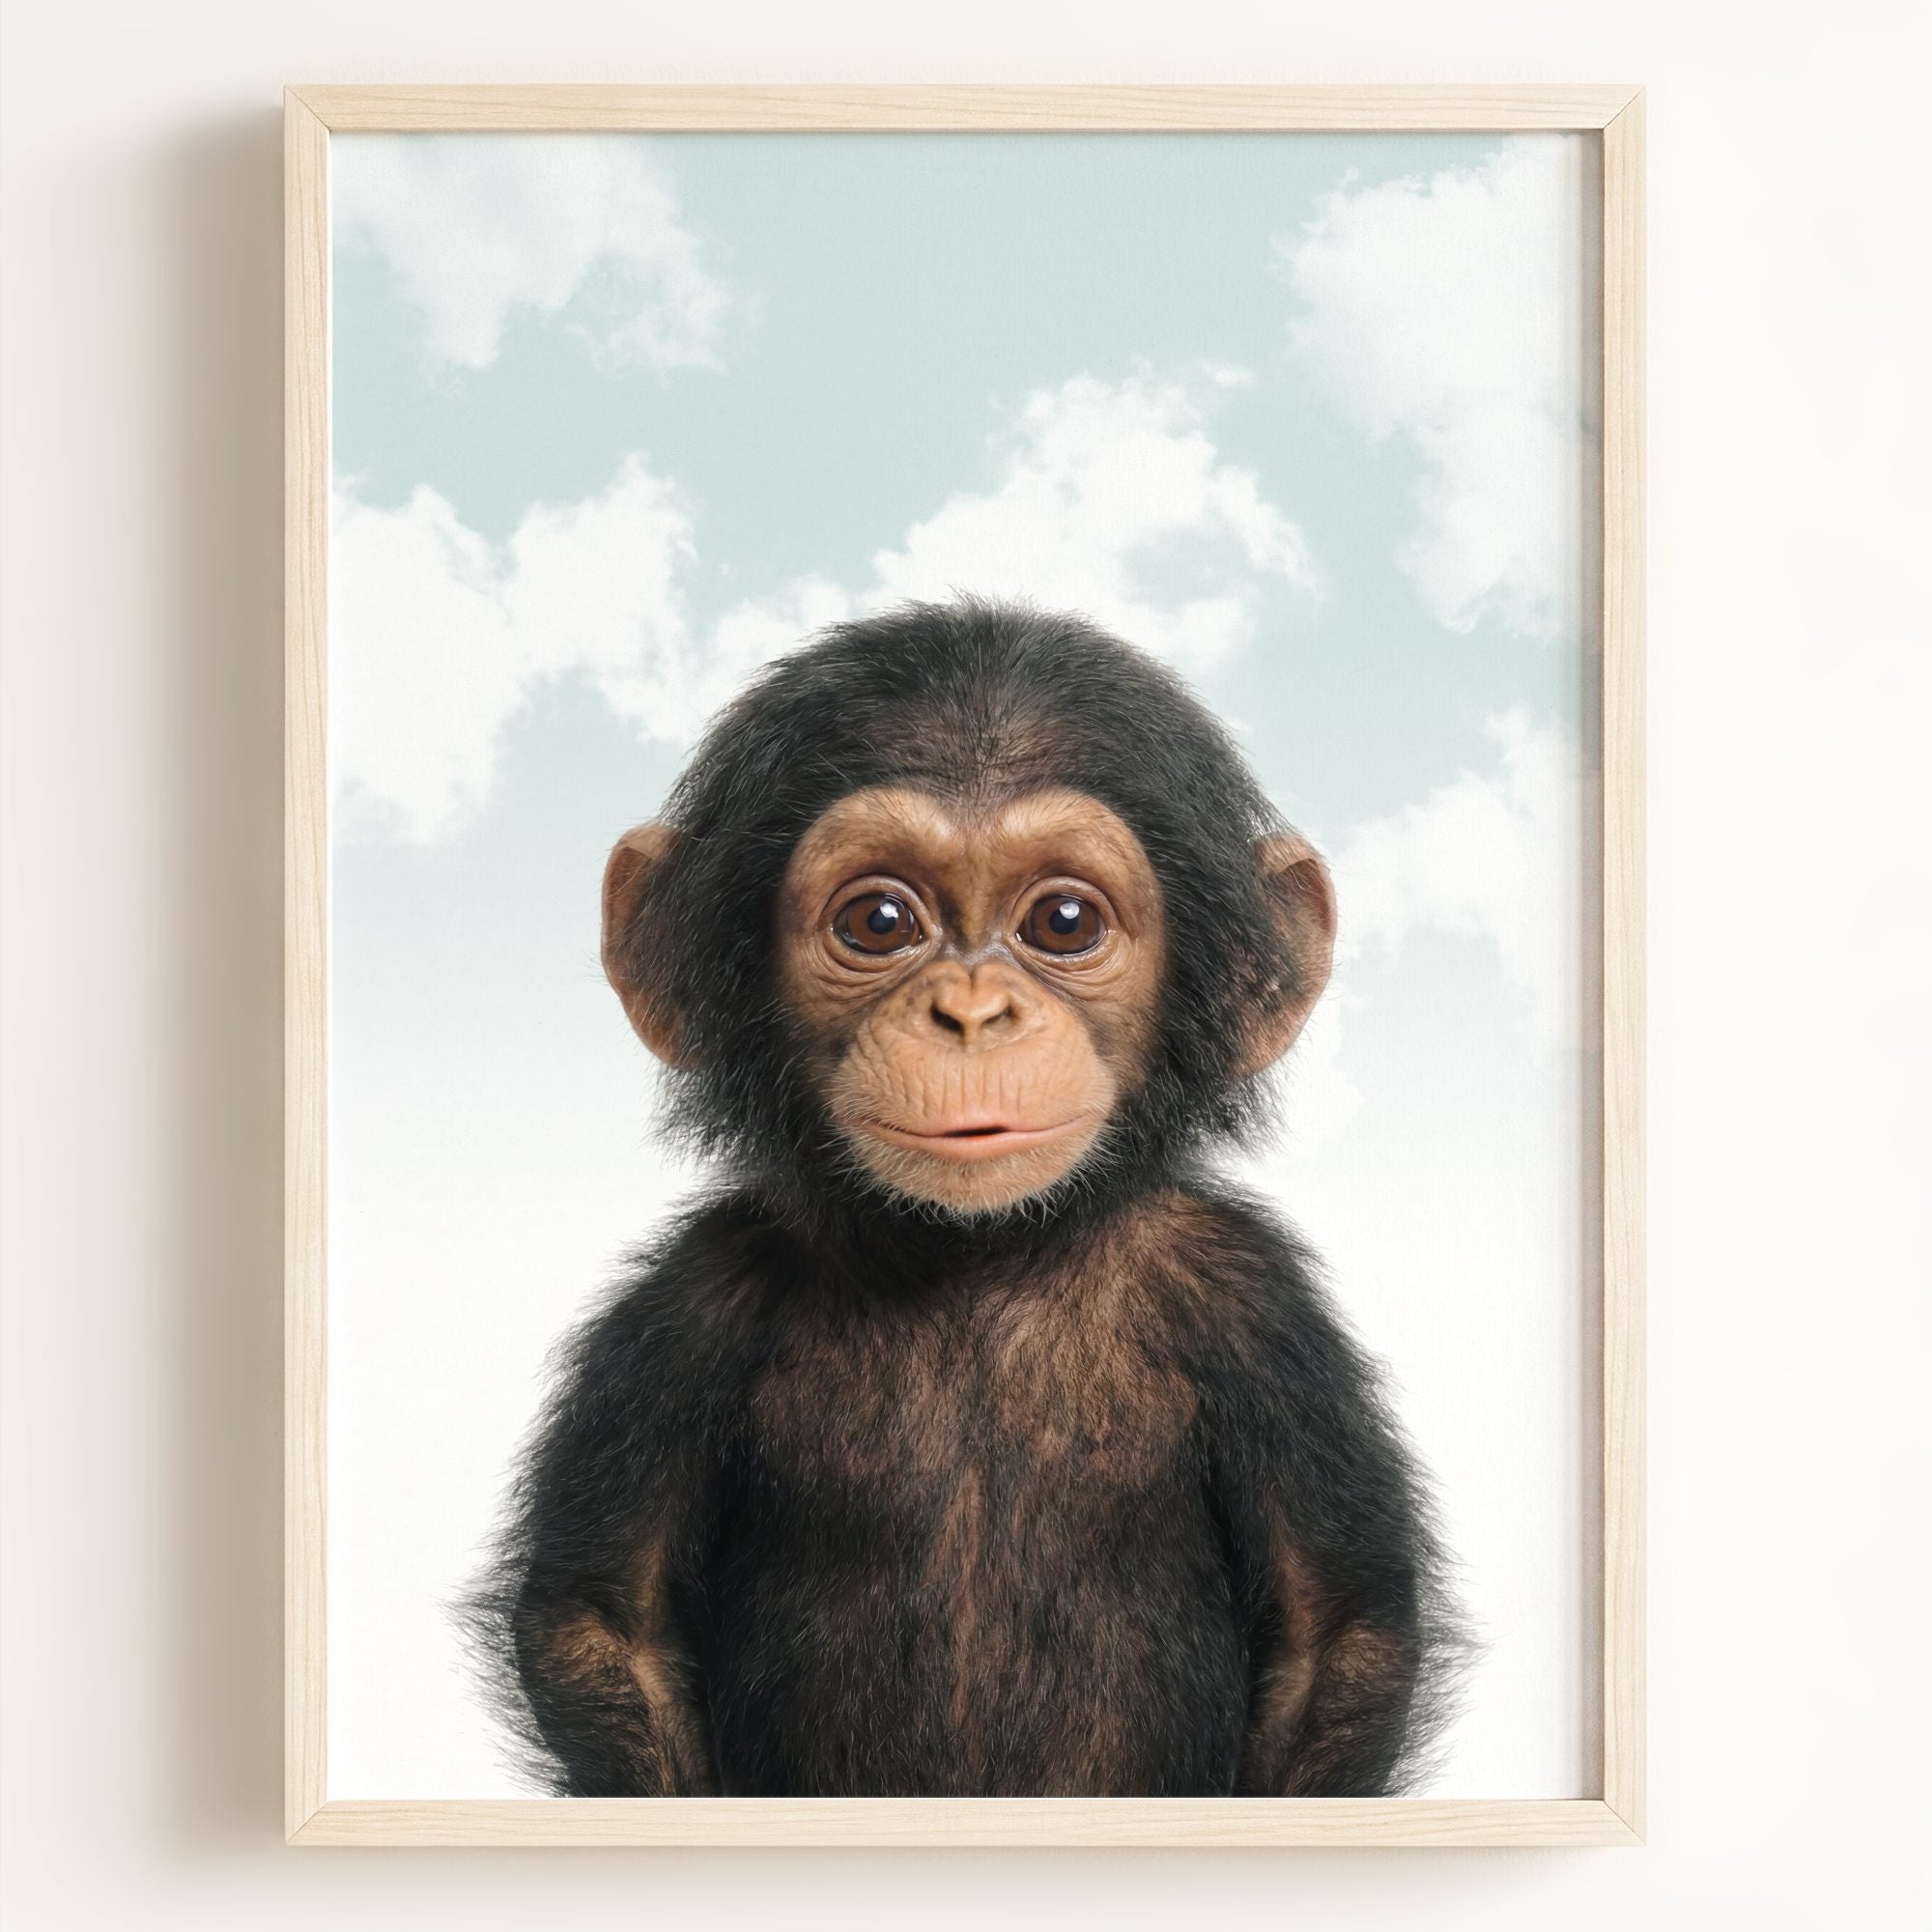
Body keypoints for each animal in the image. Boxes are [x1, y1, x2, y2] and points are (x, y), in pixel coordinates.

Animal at [465, 597, 1464, 1798]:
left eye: (1064, 920)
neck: (974, 1253)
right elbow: (605, 1621)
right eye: (880, 921)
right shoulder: (687, 1307)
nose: (973, 1012)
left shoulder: (1254, 1305)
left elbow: (1335, 1633)